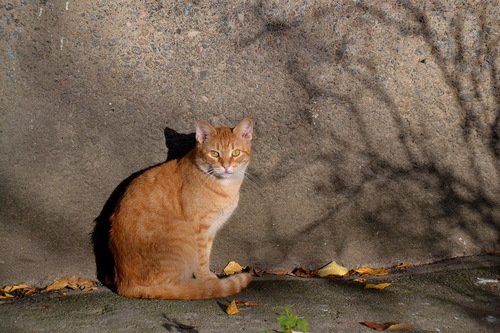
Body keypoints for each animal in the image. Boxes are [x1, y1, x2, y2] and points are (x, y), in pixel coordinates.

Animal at [108, 116, 254, 298]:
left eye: (235, 153)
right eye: (214, 154)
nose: (226, 166)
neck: (225, 186)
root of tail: (124, 284)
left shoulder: (211, 230)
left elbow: (206, 255)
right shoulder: (200, 230)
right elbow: (201, 259)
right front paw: (206, 280)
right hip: (182, 232)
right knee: (175, 288)